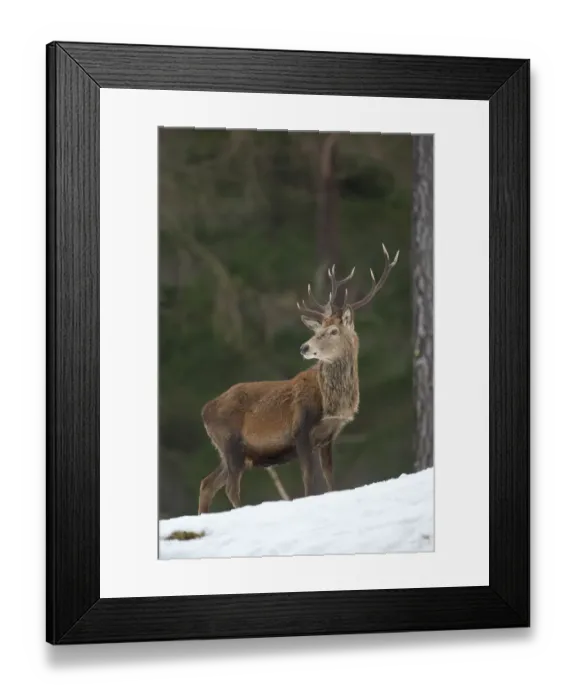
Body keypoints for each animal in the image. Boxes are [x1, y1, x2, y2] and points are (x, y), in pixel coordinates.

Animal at [197, 243, 400, 514]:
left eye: (333, 330)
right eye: (317, 329)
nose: (304, 347)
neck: (331, 405)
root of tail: (205, 410)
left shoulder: (328, 437)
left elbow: (330, 479)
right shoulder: (300, 430)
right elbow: (309, 480)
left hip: (231, 450)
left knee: (208, 482)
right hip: (229, 442)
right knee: (230, 486)